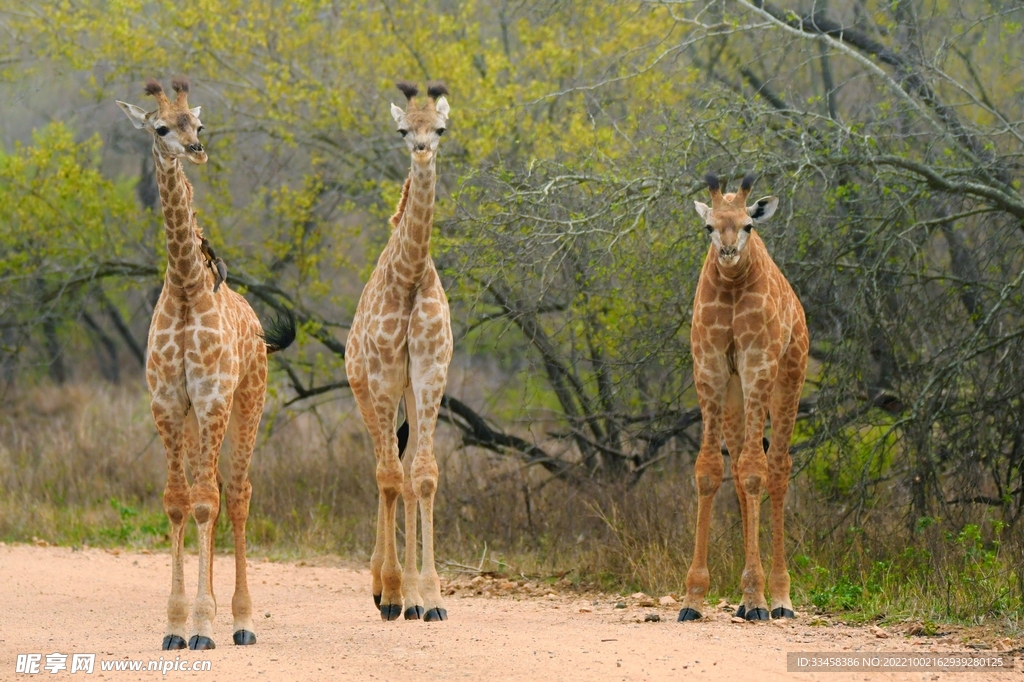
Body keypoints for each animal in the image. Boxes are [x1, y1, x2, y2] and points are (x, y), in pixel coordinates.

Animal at [120, 78, 299, 647]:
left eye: (198, 124)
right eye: (160, 127)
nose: (196, 149)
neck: (185, 286)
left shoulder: (214, 396)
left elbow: (204, 502)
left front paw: (202, 625)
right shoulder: (168, 402)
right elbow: (179, 500)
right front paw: (178, 625)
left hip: (247, 402)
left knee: (236, 493)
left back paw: (241, 621)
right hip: (202, 417)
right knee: (215, 488)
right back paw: (221, 610)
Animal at [679, 171, 806, 622]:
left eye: (749, 225)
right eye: (708, 227)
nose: (729, 253)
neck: (733, 286)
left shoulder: (758, 364)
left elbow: (755, 470)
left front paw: (757, 596)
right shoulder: (710, 368)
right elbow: (708, 471)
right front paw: (693, 599)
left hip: (789, 376)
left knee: (778, 468)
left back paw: (780, 599)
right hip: (735, 395)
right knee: (736, 472)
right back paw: (748, 601)